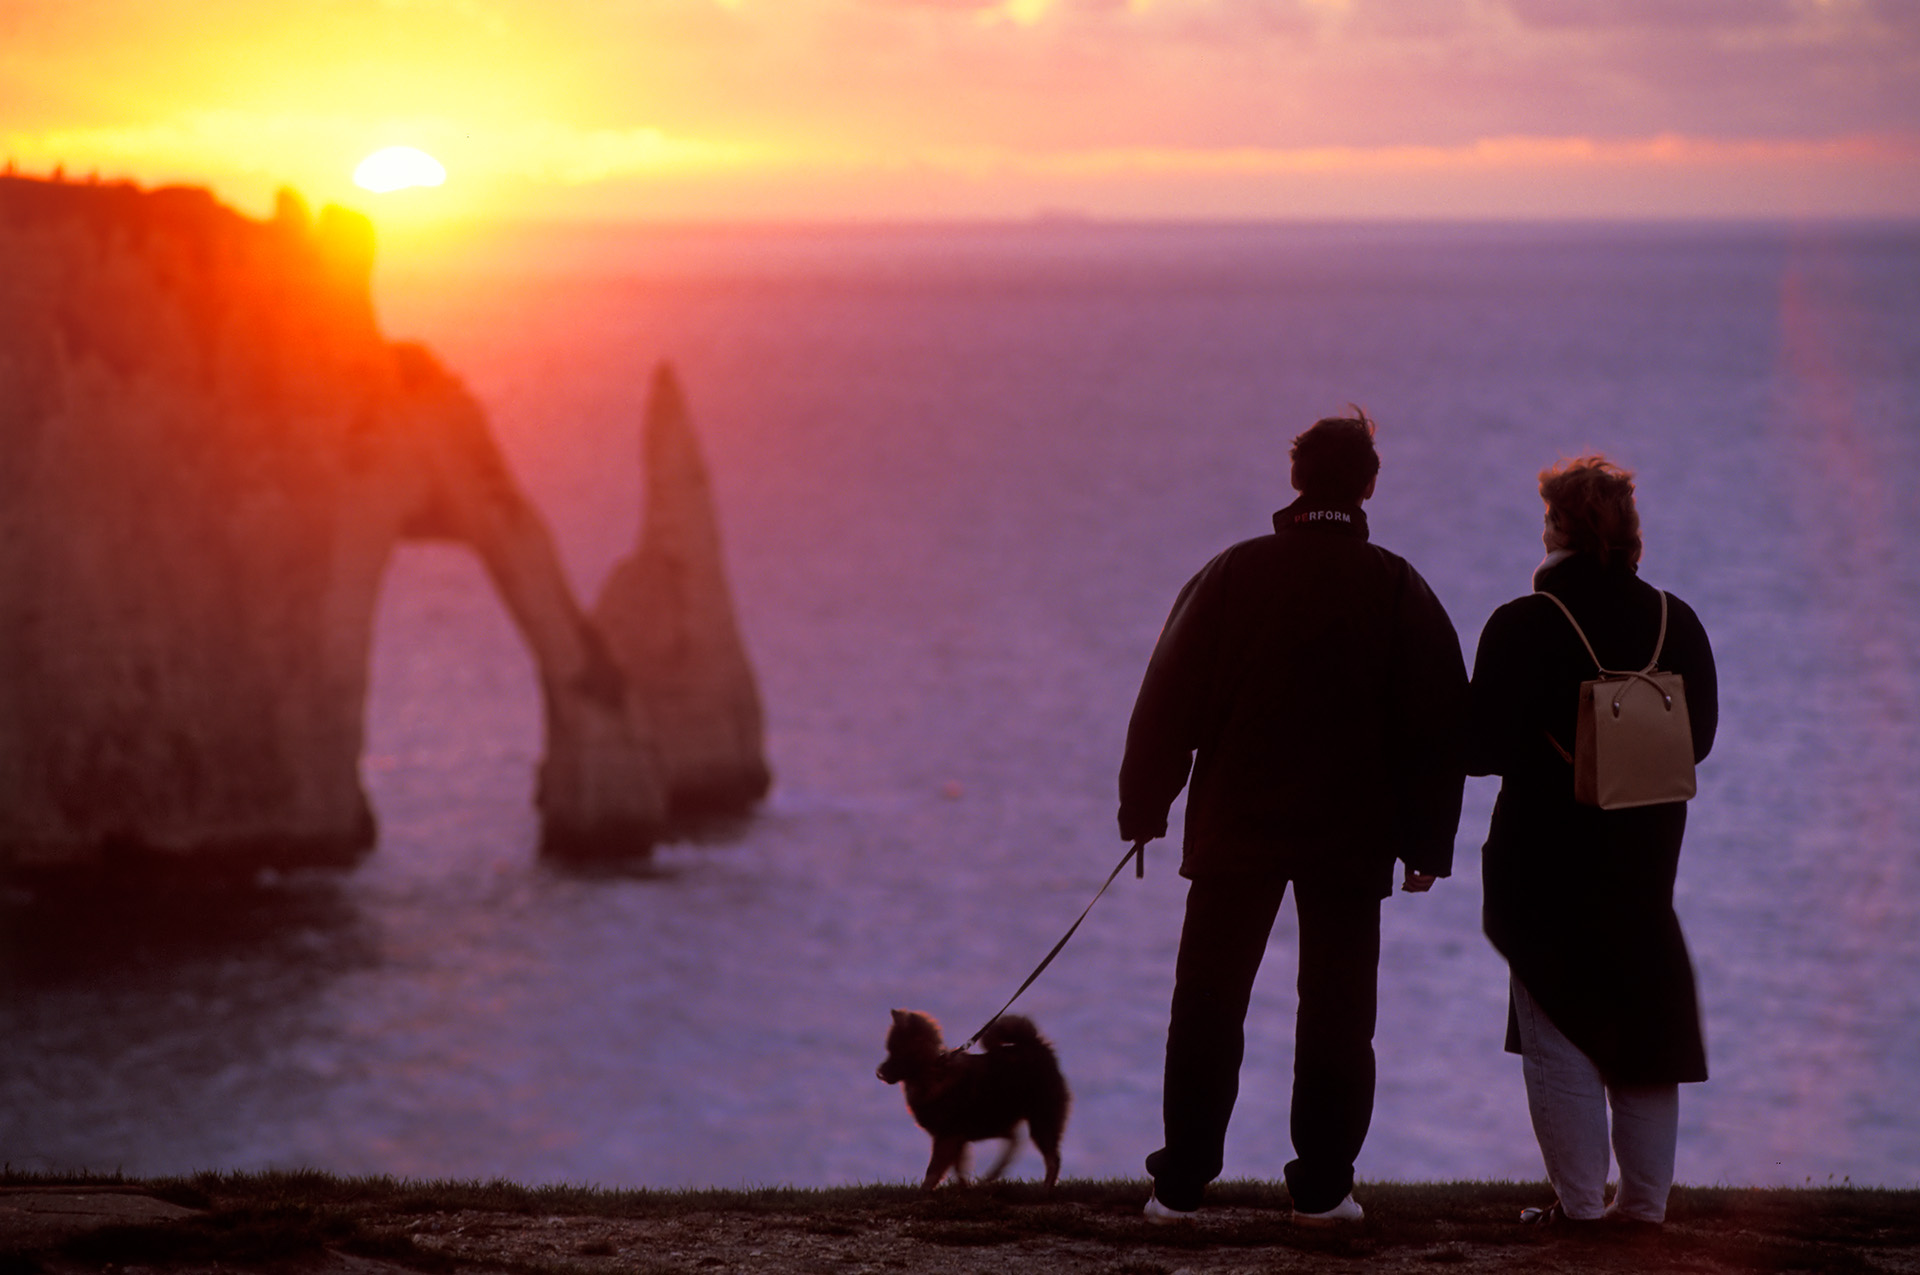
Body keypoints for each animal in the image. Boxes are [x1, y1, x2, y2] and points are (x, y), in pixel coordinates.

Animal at [879, 1013, 1075, 1190]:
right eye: (889, 1050)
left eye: (895, 1051)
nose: (878, 1072)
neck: (933, 1074)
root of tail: (1037, 1046)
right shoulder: (956, 1139)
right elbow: (958, 1168)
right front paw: (963, 1188)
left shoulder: (947, 1136)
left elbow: (933, 1170)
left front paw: (924, 1191)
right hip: (997, 1120)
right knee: (1015, 1142)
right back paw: (993, 1174)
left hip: (1040, 1121)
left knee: (1052, 1158)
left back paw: (1045, 1188)